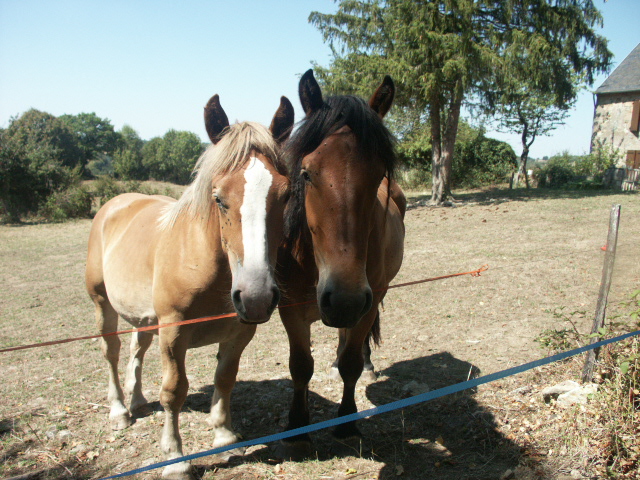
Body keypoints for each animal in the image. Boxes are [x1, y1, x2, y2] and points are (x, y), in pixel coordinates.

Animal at [86, 94, 294, 480]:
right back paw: (119, 410)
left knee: (137, 348)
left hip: (145, 317)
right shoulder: (173, 332)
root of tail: (115, 203)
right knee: (112, 351)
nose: (256, 296)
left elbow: (225, 377)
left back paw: (138, 401)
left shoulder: (240, 331)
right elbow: (173, 391)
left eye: (285, 195)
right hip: (102, 303)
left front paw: (224, 435)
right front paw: (175, 459)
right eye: (219, 197)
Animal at [278, 69, 408, 456]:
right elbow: (300, 367)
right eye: (306, 173)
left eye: (379, 174)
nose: (344, 299)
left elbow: (351, 363)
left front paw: (347, 423)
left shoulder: (368, 299)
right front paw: (298, 427)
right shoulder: (290, 308)